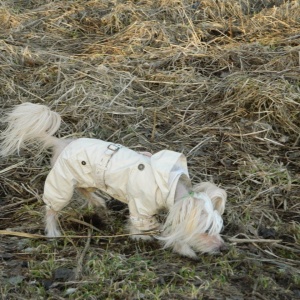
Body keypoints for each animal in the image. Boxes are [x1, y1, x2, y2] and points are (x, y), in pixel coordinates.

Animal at [0, 103, 227, 258]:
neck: (168, 184)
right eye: (206, 231)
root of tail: (59, 143)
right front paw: (172, 245)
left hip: (83, 178)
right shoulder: (141, 209)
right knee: (51, 209)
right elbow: (154, 229)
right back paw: (53, 232)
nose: (221, 247)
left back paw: (98, 202)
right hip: (61, 184)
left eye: (218, 229)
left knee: (84, 190)